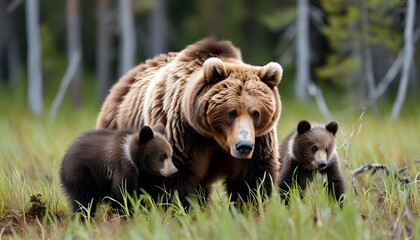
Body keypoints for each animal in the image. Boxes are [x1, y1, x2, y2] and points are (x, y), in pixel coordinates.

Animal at [97, 38, 284, 206]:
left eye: (256, 113)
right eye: (231, 112)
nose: (243, 146)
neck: (214, 137)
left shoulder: (258, 142)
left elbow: (250, 183)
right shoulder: (180, 136)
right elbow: (176, 182)